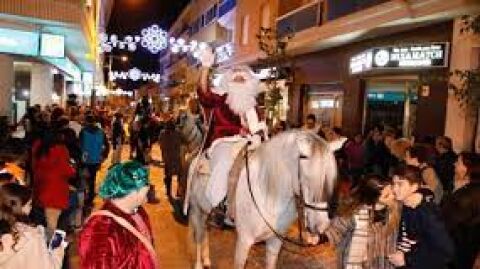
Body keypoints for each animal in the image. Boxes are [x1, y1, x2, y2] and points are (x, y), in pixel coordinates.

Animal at [186, 129, 336, 266]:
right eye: (308, 178)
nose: (322, 226)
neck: (268, 195)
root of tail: (199, 156)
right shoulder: (244, 241)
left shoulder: (275, 241)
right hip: (196, 210)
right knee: (199, 235)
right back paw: (199, 264)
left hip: (205, 212)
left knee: (205, 232)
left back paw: (207, 259)